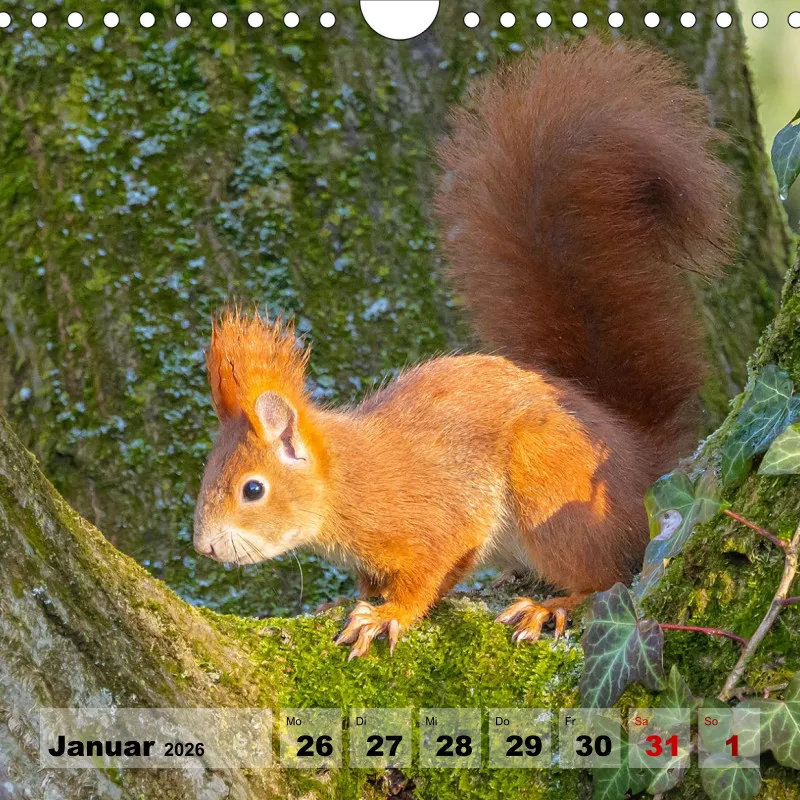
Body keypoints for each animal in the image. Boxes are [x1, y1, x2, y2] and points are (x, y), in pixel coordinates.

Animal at [193, 37, 734, 659]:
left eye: (252, 489)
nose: (204, 548)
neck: (347, 481)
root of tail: (639, 463)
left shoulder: (436, 518)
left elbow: (432, 573)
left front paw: (387, 614)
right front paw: (346, 599)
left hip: (554, 494)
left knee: (608, 578)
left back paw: (552, 605)